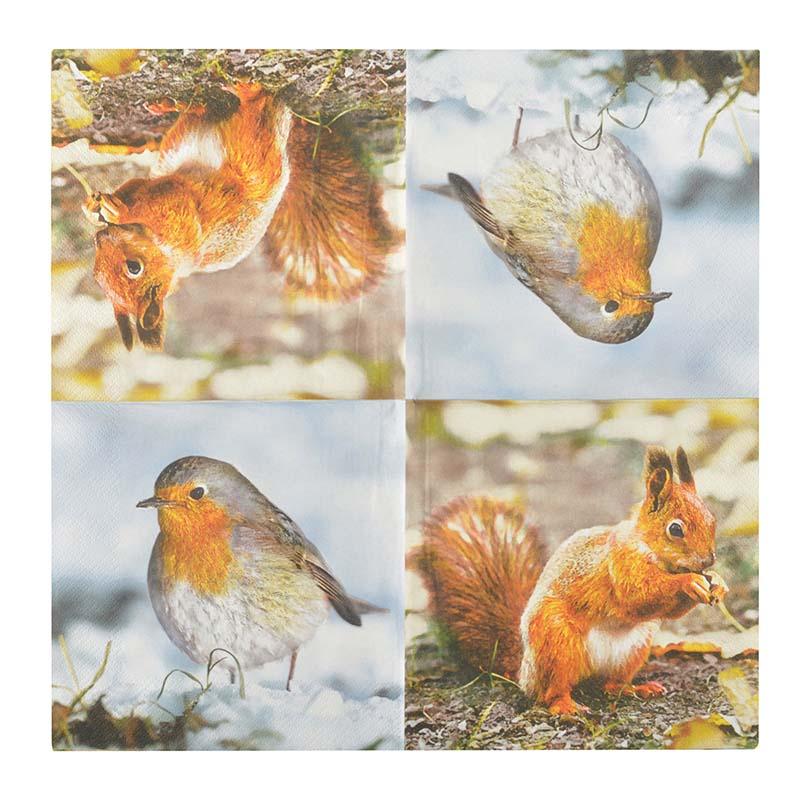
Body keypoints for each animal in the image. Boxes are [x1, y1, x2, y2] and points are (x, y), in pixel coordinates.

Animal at [83, 82, 400, 350]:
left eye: (134, 268)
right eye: (97, 277)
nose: (101, 237)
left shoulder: (178, 213)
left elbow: (152, 202)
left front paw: (115, 210)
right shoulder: (149, 186)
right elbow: (133, 186)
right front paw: (93, 209)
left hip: (249, 151)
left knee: (254, 114)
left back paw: (242, 92)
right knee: (210, 114)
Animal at [410, 446, 729, 716]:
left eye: (712, 519)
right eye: (675, 529)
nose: (707, 561)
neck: (651, 551)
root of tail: (524, 669)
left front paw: (718, 583)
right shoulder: (620, 563)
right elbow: (639, 595)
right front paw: (689, 582)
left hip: (634, 647)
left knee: (609, 685)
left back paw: (634, 688)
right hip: (556, 641)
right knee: (550, 692)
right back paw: (566, 706)